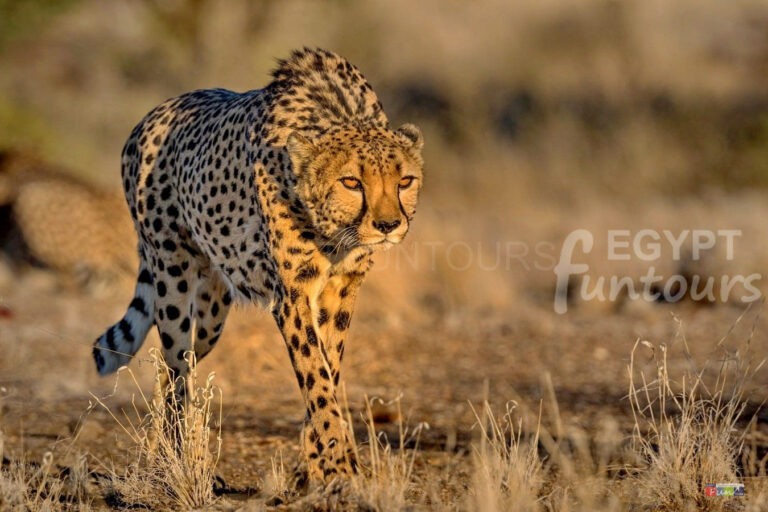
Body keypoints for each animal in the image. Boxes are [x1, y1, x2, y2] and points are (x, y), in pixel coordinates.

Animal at [91, 47, 424, 488]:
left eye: (405, 181)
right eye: (352, 182)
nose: (388, 225)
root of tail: (150, 117)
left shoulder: (341, 288)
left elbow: (329, 370)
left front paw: (319, 462)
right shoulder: (293, 294)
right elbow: (315, 374)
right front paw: (338, 465)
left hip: (211, 312)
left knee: (170, 368)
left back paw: (163, 450)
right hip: (172, 277)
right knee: (177, 369)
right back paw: (177, 459)